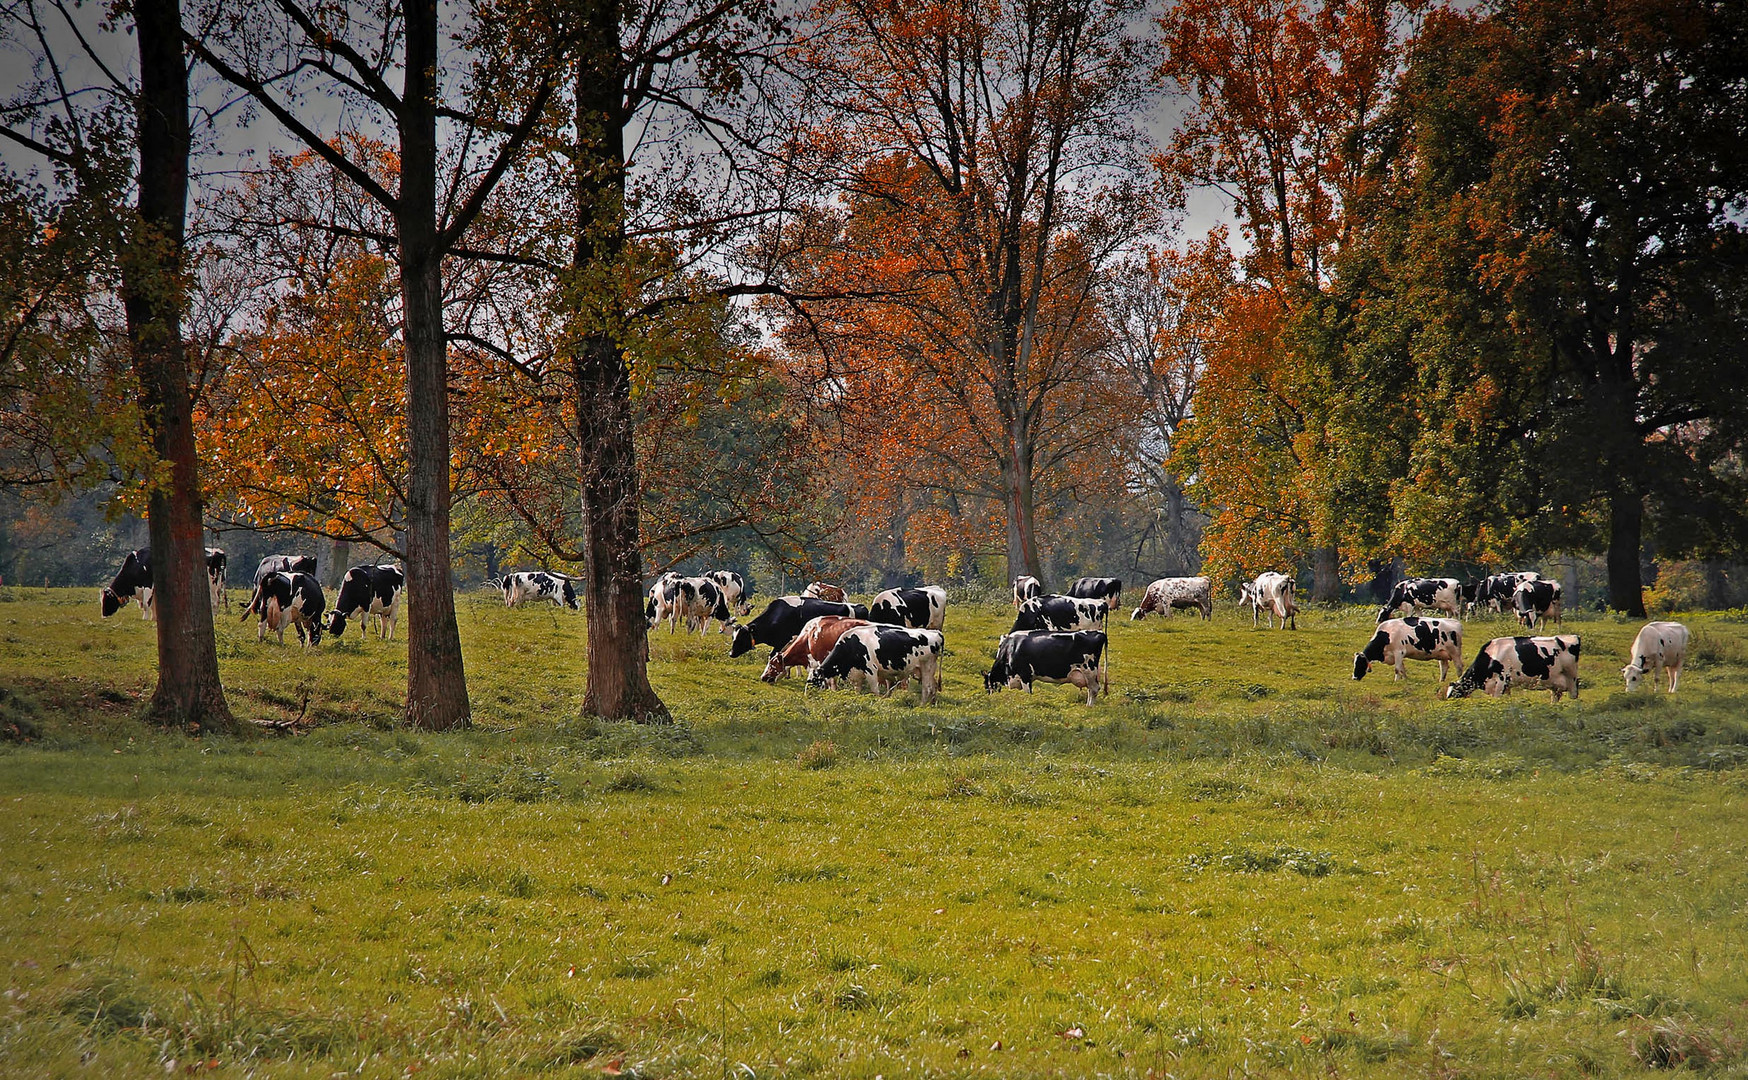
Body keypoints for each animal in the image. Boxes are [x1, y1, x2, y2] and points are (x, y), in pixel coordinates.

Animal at [723, 587, 867, 657]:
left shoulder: (782, 640)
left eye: (742, 638)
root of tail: (859, 606)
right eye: (733, 638)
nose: (731, 653)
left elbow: (773, 655)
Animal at [804, 618, 943, 702]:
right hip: (927, 669)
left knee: (927, 688)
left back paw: (922, 705)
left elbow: (874, 690)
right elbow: (857, 691)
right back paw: (932, 703)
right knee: (933, 685)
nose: (806, 695)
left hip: (926, 667)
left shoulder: (871, 670)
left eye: (814, 680)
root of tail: (936, 633)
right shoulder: (856, 674)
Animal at [1440, 629, 1580, 699]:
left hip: (1571, 677)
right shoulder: (1505, 686)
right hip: (1556, 683)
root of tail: (1573, 636)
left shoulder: (1501, 681)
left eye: (1453, 695)